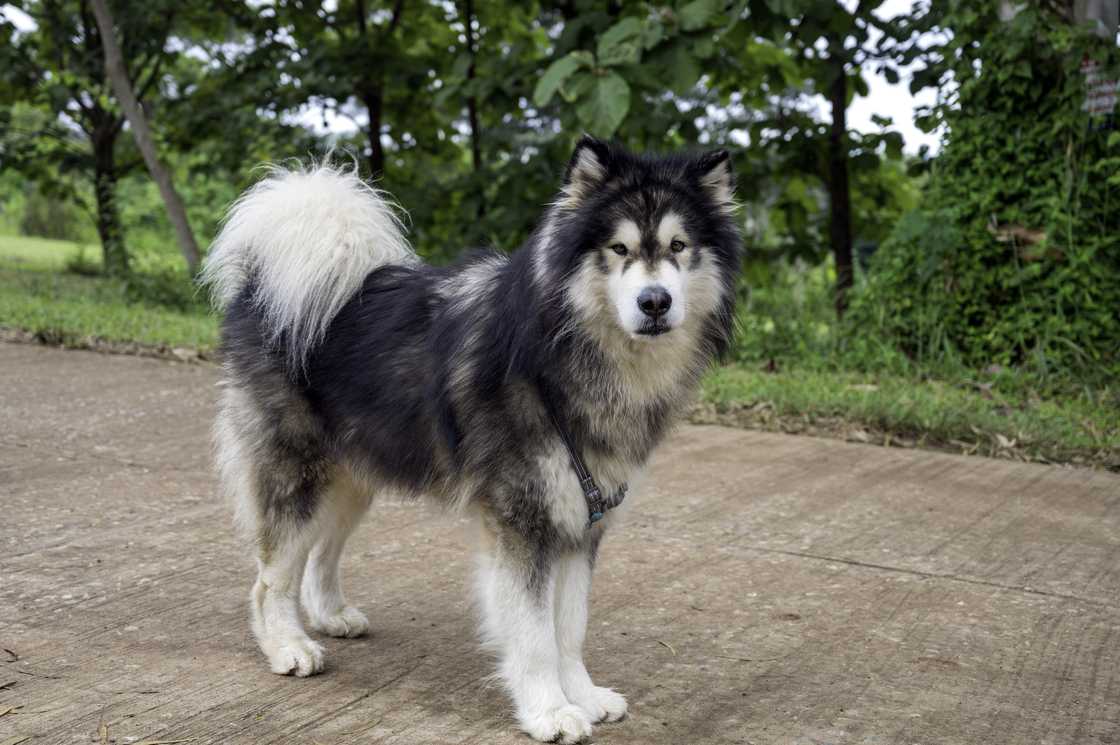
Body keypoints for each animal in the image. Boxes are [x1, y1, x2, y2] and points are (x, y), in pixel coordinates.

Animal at [201, 136, 743, 739]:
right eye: (619, 248)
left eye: (678, 246)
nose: (655, 302)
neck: (563, 349)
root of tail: (262, 288)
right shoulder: (523, 521)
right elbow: (534, 634)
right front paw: (549, 710)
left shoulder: (580, 523)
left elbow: (569, 628)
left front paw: (583, 695)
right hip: (300, 474)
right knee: (270, 577)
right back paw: (288, 646)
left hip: (355, 476)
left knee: (321, 550)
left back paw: (330, 614)